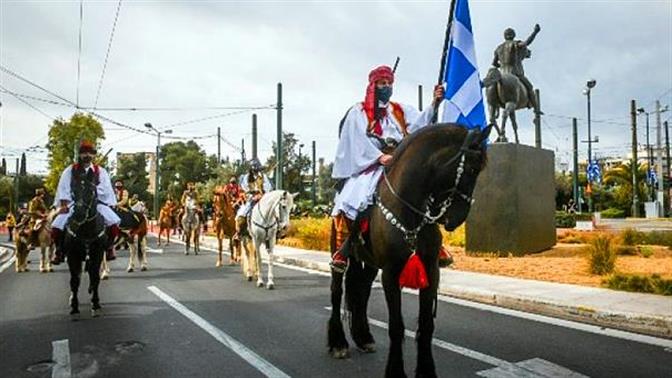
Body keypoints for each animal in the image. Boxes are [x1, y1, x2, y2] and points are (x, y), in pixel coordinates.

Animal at [65, 167, 109, 318]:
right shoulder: (72, 256)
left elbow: (95, 277)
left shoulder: (97, 254)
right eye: (73, 191)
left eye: (91, 191)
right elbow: (74, 280)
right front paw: (74, 306)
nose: (79, 214)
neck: (86, 231)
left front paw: (95, 304)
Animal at [328, 122, 490, 376]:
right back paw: (338, 343)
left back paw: (364, 337)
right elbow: (396, 326)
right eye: (473, 169)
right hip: (340, 250)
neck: (410, 210)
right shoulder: (391, 273)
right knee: (337, 291)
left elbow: (426, 325)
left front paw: (426, 370)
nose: (457, 219)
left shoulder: (431, 270)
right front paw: (395, 370)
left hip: (369, 263)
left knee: (361, 292)